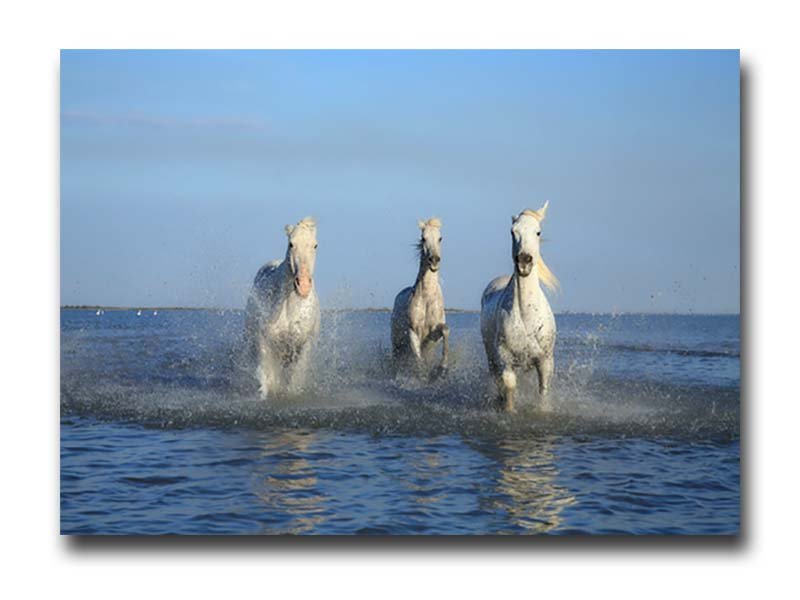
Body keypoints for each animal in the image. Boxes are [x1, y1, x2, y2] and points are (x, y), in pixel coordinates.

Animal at [244, 217, 321, 399]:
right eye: (291, 244)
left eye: (315, 245)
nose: (303, 286)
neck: (289, 306)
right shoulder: (265, 341)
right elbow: (267, 378)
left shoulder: (303, 346)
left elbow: (294, 380)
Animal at [390, 217, 449, 381]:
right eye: (423, 238)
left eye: (440, 238)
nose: (434, 260)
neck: (427, 298)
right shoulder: (413, 332)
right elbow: (418, 358)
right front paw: (424, 374)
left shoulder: (433, 335)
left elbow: (446, 330)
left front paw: (442, 368)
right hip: (396, 344)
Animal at [480, 203, 558, 412]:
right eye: (512, 231)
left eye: (538, 232)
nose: (524, 261)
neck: (526, 315)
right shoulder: (505, 359)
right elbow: (508, 387)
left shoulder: (545, 361)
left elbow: (543, 390)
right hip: (491, 356)